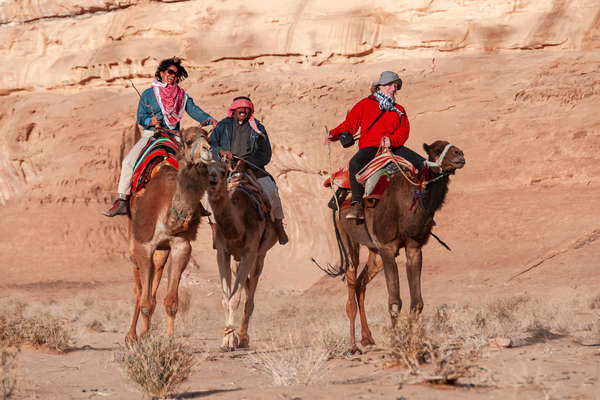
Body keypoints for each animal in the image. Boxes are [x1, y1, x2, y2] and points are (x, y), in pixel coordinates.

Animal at [124, 126, 213, 342]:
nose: (208, 150)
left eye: (209, 139)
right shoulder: (144, 245)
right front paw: (142, 339)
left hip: (161, 251)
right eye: (188, 141)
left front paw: (169, 339)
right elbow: (145, 300)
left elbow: (171, 301)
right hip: (133, 241)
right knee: (139, 289)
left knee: (155, 276)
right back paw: (131, 335)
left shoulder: (181, 246)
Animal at [206, 159, 278, 350]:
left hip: (260, 254)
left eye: (222, 172)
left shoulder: (250, 252)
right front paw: (227, 338)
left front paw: (232, 340)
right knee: (244, 282)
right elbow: (226, 298)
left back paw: (244, 337)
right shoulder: (222, 252)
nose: (212, 180)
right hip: (236, 259)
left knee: (251, 289)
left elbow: (235, 299)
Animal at [326, 141, 466, 354]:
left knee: (360, 284)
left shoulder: (413, 248)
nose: (460, 154)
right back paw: (353, 346)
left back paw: (367, 338)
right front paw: (396, 342)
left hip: (374, 253)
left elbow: (417, 302)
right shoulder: (387, 247)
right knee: (351, 286)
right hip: (347, 238)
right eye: (436, 149)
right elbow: (394, 302)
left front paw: (413, 340)